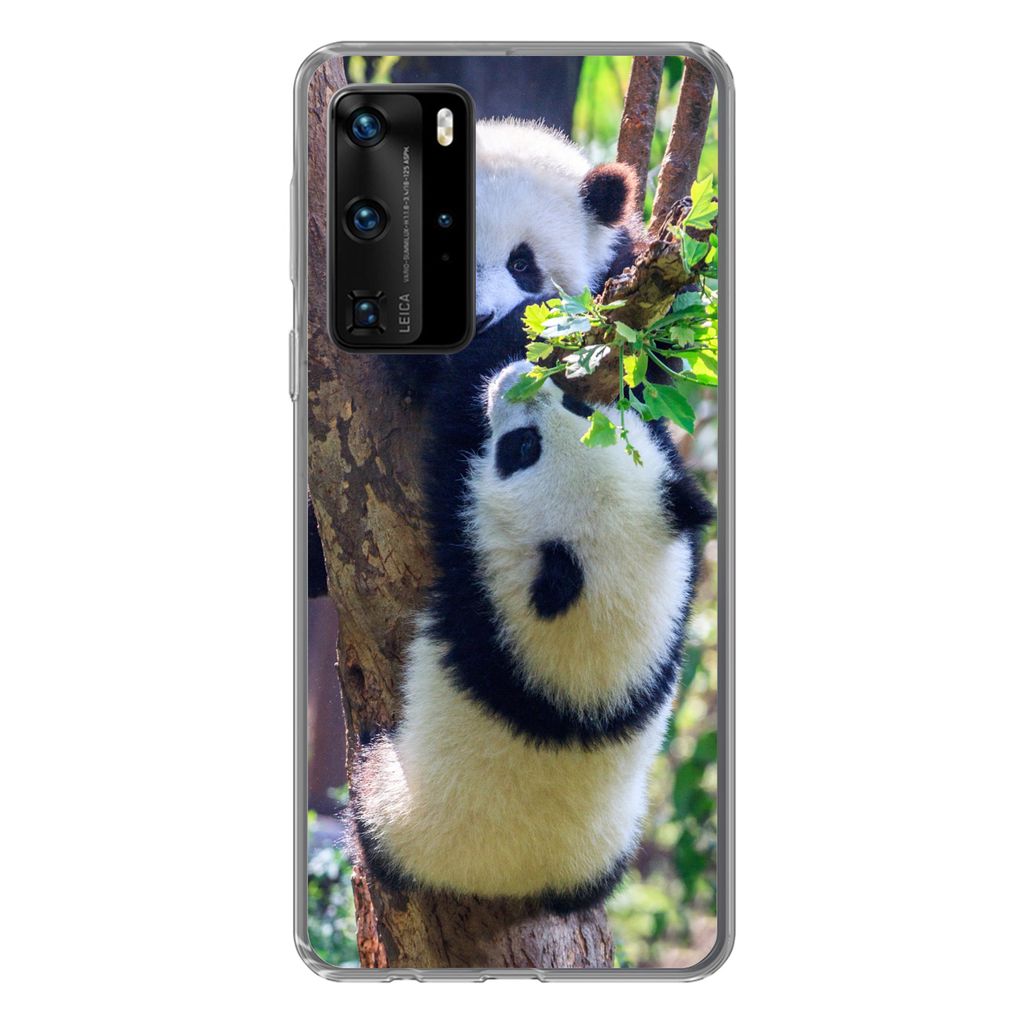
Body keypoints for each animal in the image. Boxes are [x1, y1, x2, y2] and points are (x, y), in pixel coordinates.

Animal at [350, 359, 715, 913]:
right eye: (581, 408)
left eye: (522, 448)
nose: (517, 376)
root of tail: (514, 885)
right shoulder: (677, 604)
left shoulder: (481, 575)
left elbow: (447, 439)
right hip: (609, 847)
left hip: (405, 811)